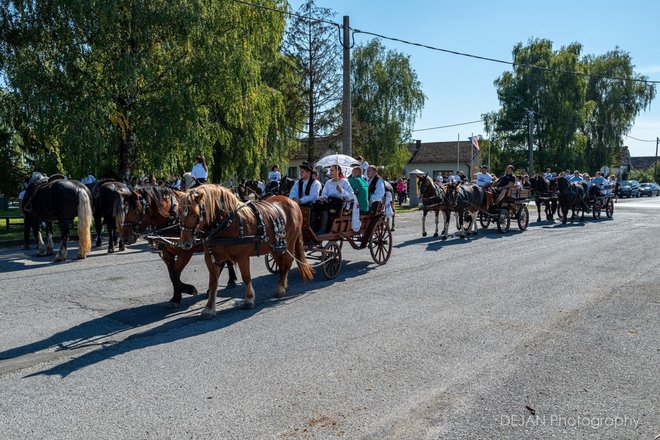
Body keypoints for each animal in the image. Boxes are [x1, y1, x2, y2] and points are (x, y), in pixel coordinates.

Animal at [177, 184, 314, 318]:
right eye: (179, 214)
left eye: (195, 215)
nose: (185, 243)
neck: (227, 223)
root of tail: (292, 201)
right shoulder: (211, 258)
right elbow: (213, 282)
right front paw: (209, 308)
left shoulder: (242, 256)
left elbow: (246, 277)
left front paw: (249, 299)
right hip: (276, 247)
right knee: (281, 264)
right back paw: (283, 285)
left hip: (290, 242)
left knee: (287, 263)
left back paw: (280, 288)